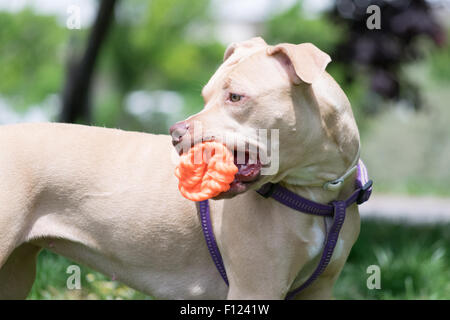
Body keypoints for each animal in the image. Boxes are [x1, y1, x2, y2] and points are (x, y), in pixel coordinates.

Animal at [0, 38, 360, 300]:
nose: (175, 132)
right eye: (205, 95)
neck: (318, 189)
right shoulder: (256, 287)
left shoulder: (319, 289)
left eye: (235, 97)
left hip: (15, 272)